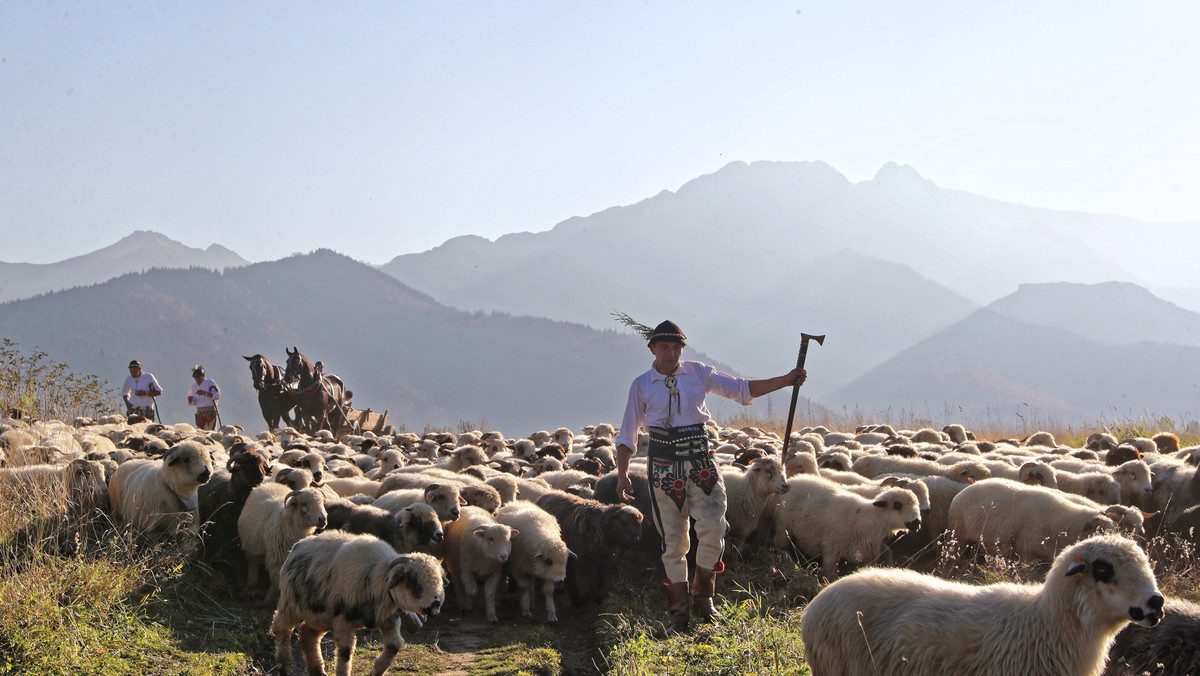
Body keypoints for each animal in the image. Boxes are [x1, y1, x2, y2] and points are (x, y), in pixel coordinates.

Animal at [270, 530, 444, 676]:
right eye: (412, 579)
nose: (435, 604)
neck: (377, 578)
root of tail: (297, 545)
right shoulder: (343, 620)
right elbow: (345, 652)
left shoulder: (389, 618)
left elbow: (394, 646)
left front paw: (375, 672)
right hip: (291, 605)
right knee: (281, 629)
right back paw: (285, 667)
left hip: (319, 615)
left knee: (308, 636)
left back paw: (318, 671)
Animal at [768, 473, 916, 578]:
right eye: (898, 505)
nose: (917, 523)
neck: (866, 518)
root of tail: (794, 479)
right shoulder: (831, 550)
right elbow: (830, 575)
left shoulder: (869, 556)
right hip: (783, 528)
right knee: (780, 544)